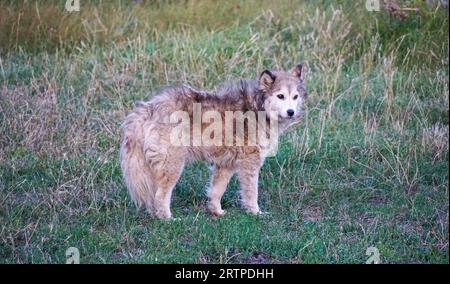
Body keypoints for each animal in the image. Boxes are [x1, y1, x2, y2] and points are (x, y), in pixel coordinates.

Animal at [121, 65, 308, 220]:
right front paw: (256, 213)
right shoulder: (250, 163)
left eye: (295, 96)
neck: (258, 108)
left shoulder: (226, 164)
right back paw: (168, 219)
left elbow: (217, 191)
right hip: (173, 166)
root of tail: (149, 108)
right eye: (280, 96)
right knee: (160, 195)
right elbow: (251, 192)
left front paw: (216, 212)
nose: (291, 112)